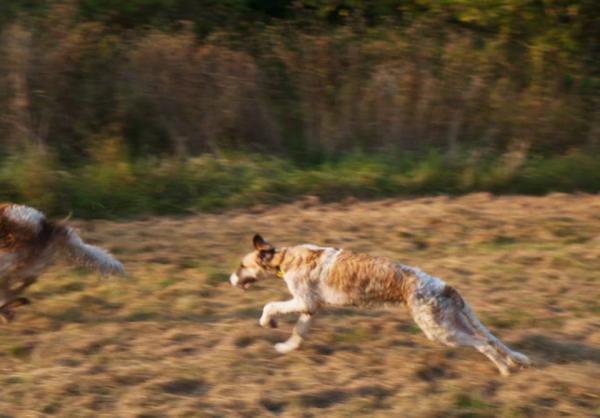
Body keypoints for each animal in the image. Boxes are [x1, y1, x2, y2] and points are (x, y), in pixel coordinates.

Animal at [229, 235, 528, 376]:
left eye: (242, 266)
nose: (229, 279)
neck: (285, 258)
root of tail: (446, 287)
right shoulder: (311, 308)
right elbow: (298, 333)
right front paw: (286, 348)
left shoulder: (302, 301)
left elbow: (269, 306)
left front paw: (268, 322)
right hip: (450, 322)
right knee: (489, 340)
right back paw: (509, 365)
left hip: (440, 331)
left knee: (484, 344)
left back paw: (503, 370)